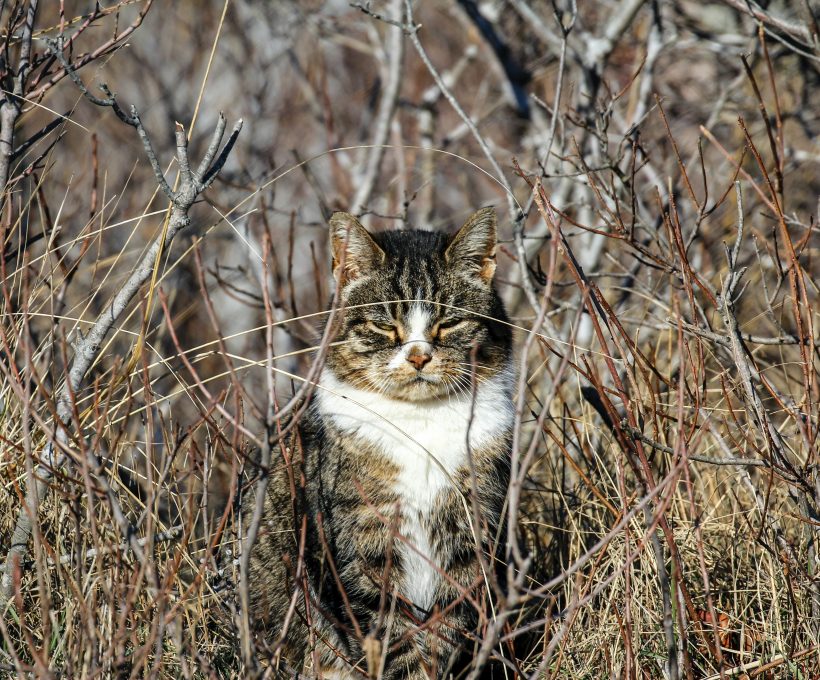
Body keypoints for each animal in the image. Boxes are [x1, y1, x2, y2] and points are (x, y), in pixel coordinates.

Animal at [243, 209, 512, 680]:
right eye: (385, 326)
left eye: (450, 323)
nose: (419, 356)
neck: (420, 424)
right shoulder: (359, 551)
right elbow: (389, 639)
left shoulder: (468, 540)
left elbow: (445, 632)